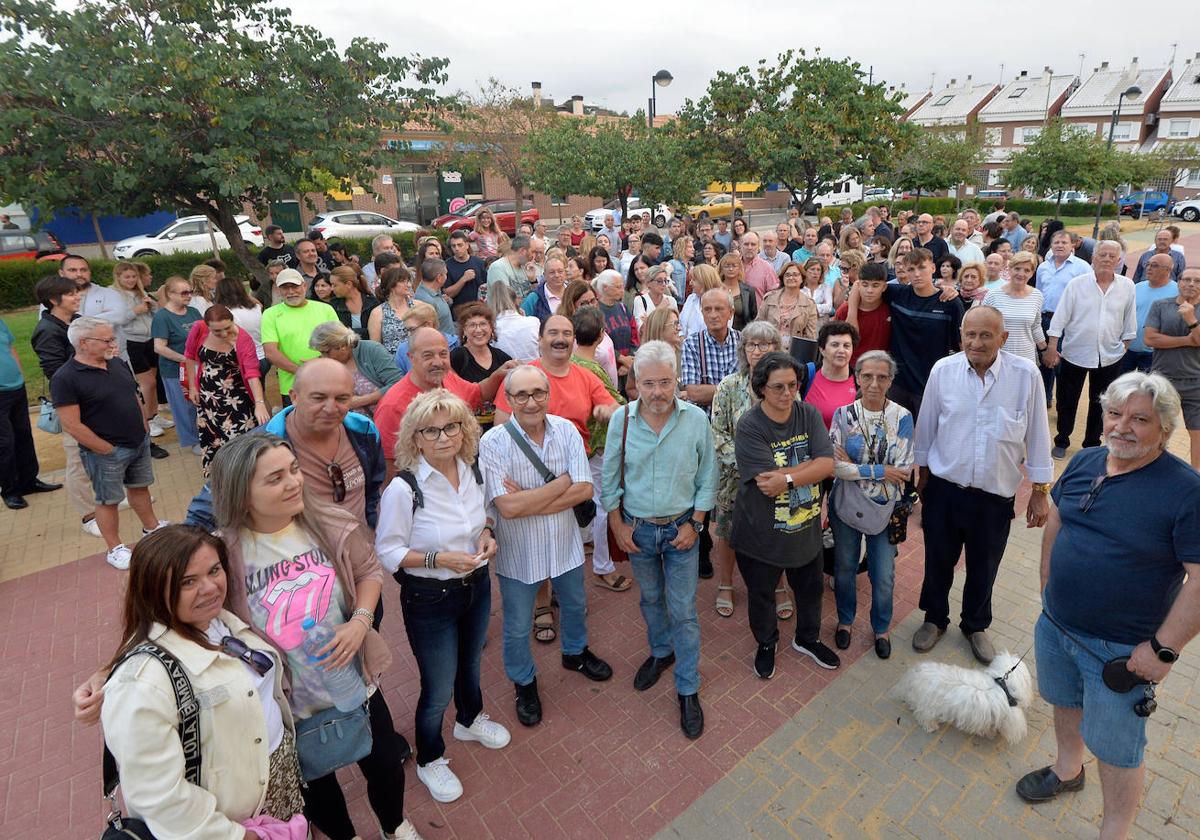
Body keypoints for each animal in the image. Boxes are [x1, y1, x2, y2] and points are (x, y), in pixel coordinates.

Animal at [892, 648, 1032, 744]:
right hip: (929, 707)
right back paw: (931, 726)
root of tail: (918, 672)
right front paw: (991, 734)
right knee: (923, 715)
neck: (1004, 686)